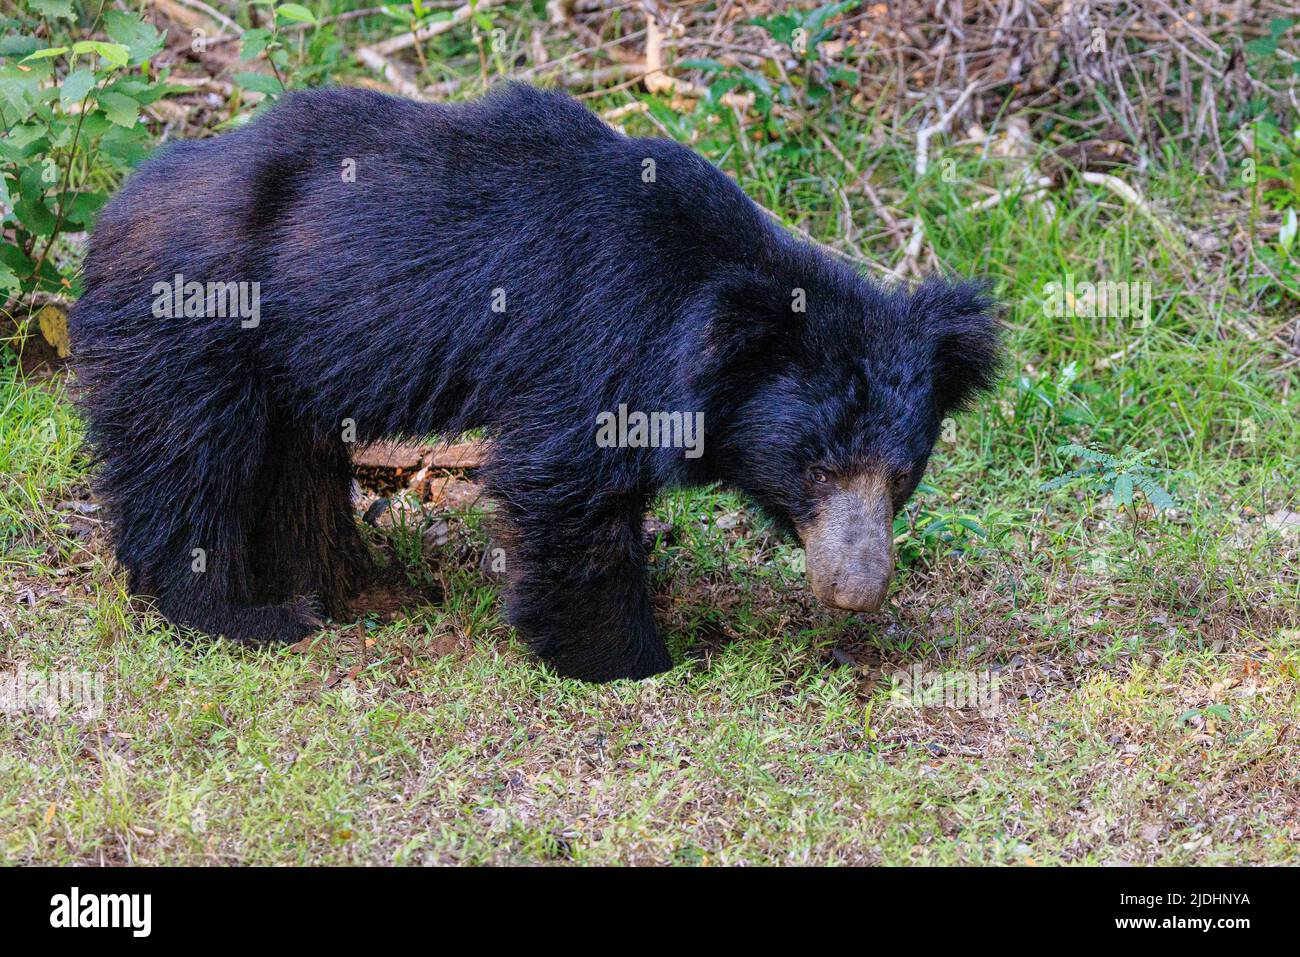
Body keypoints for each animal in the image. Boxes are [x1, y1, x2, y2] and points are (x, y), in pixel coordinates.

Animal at [71, 80, 998, 681]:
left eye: (902, 475)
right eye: (816, 468)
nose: (858, 591)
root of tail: (115, 206)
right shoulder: (597, 338)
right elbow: (563, 485)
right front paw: (631, 659)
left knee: (289, 470)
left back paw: (342, 585)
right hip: (195, 327)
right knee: (189, 464)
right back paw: (247, 616)